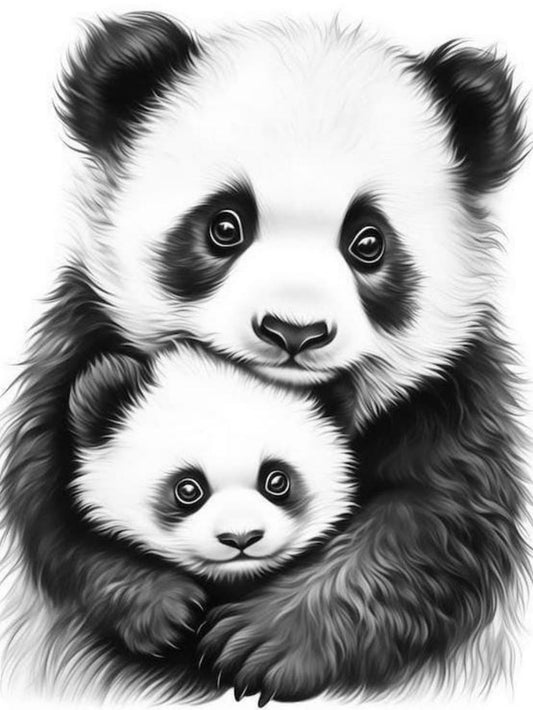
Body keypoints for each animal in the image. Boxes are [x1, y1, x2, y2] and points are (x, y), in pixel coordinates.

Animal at [0, 10, 529, 705]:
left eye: (368, 241)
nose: (294, 331)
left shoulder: (452, 387)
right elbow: (52, 498)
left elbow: (438, 525)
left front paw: (261, 643)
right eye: (225, 225)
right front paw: (159, 603)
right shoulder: (82, 339)